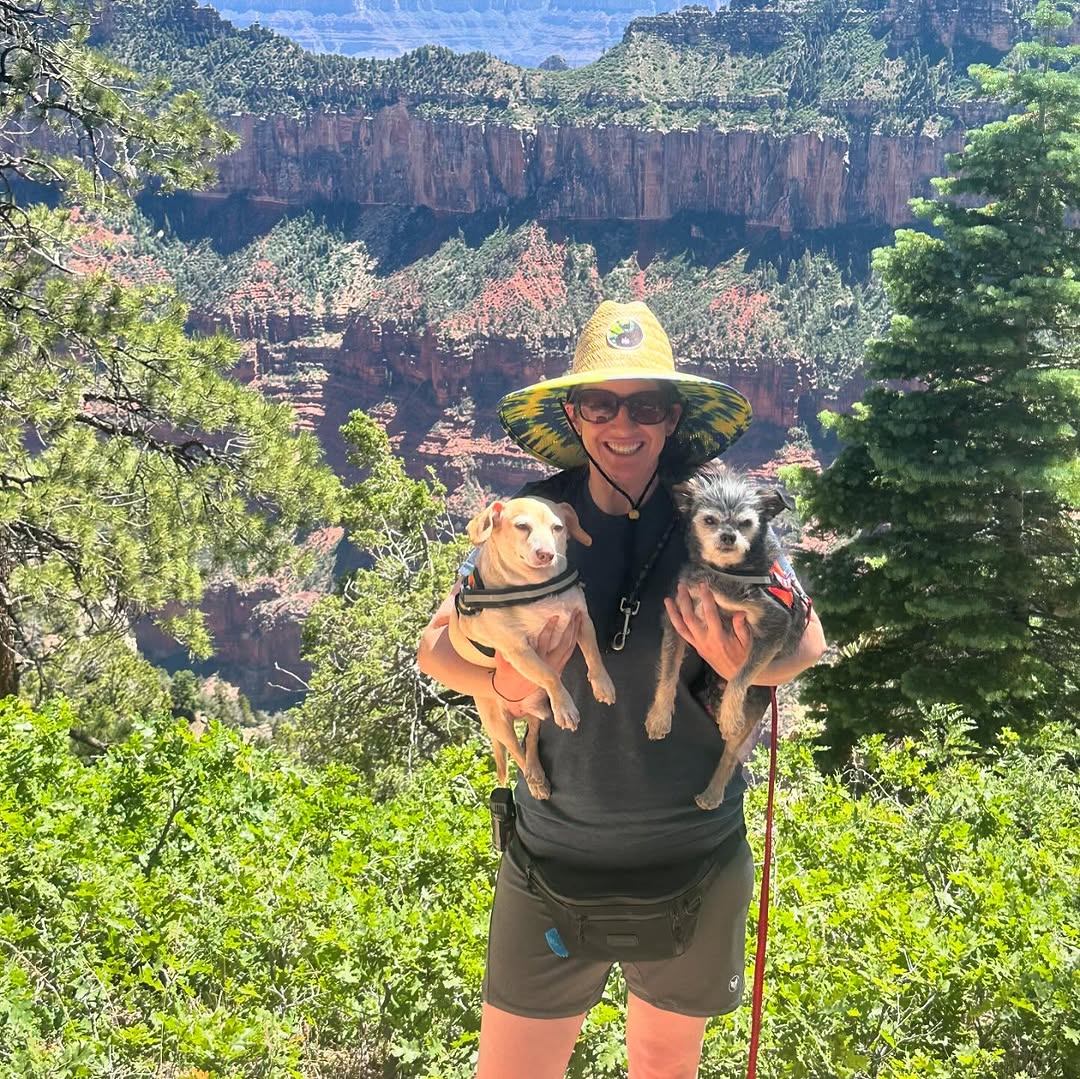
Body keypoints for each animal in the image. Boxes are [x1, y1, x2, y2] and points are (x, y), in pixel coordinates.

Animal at [449, 496, 617, 803]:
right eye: (522, 526)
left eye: (558, 527)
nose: (546, 554)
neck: (538, 588)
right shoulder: (518, 650)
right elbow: (549, 674)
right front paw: (565, 706)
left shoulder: (581, 620)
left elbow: (594, 656)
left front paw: (603, 685)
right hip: (499, 723)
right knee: (517, 753)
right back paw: (535, 780)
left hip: (536, 714)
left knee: (531, 741)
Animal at [639, 464, 812, 812]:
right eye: (709, 520)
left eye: (746, 523)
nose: (729, 536)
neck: (725, 575)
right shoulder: (677, 617)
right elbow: (668, 674)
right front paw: (659, 717)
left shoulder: (774, 625)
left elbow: (740, 676)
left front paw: (730, 713)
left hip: (755, 708)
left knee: (730, 755)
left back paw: (712, 793)